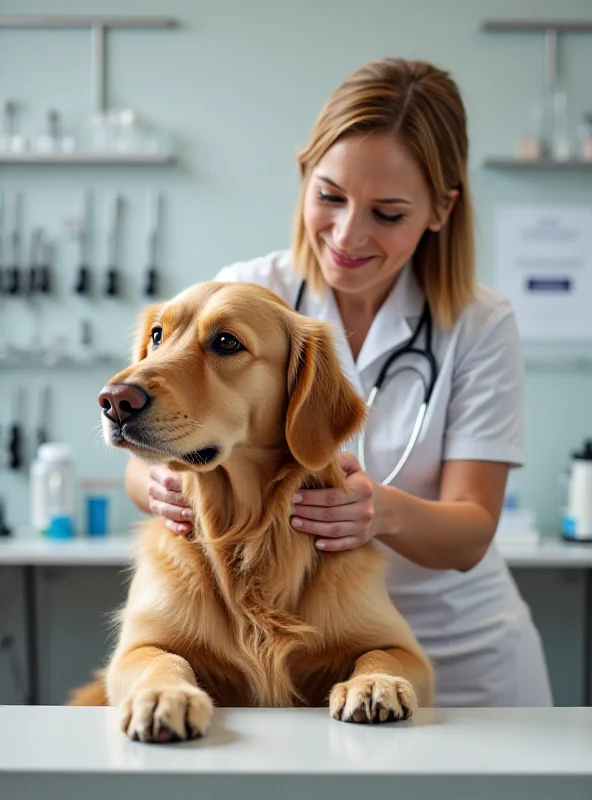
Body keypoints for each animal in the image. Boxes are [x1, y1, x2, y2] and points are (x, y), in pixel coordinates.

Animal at [73, 282, 434, 744]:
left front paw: (375, 683)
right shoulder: (135, 648)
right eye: (157, 335)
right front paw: (163, 695)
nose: (114, 401)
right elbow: (163, 658)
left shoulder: (406, 648)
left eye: (227, 342)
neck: (246, 531)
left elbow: (381, 654)